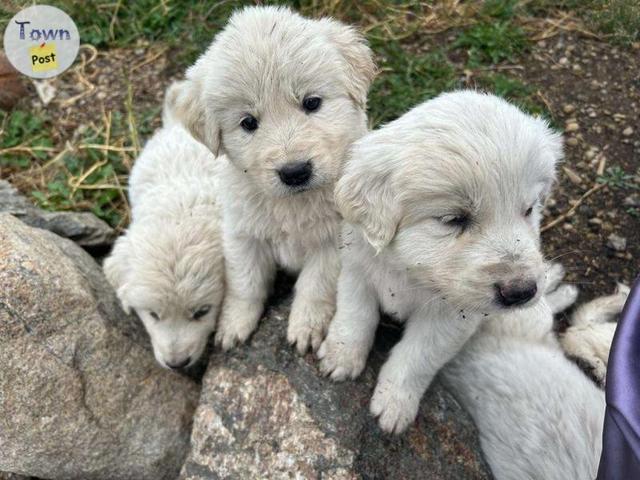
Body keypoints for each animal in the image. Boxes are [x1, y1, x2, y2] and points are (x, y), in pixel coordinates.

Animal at [168, 5, 378, 354]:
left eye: (312, 102)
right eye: (248, 122)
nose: (295, 171)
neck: (292, 205)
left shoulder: (334, 241)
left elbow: (315, 286)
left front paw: (306, 328)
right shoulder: (242, 233)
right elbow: (245, 283)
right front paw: (233, 325)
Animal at [318, 91, 564, 436]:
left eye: (528, 209)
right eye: (453, 219)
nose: (522, 292)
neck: (412, 272)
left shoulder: (451, 320)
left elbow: (417, 356)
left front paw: (395, 404)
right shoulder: (357, 271)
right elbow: (355, 317)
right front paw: (340, 357)